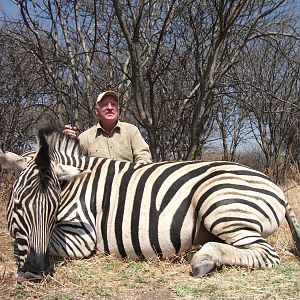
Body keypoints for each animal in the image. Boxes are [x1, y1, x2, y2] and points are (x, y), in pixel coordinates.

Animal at [0, 127, 298, 282]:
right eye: (18, 206)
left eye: (53, 209)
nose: (35, 273)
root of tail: (278, 190)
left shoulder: (81, 236)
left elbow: (38, 243)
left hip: (219, 203)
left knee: (265, 254)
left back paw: (203, 260)